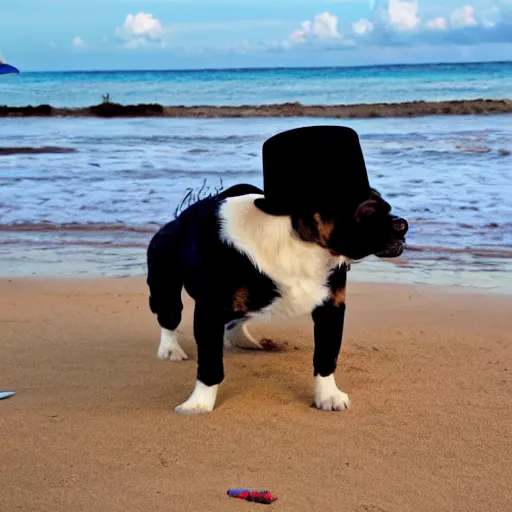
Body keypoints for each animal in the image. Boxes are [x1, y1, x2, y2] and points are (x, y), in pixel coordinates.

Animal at [147, 126, 408, 414]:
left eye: (388, 209)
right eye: (366, 212)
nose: (402, 225)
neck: (301, 243)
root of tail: (176, 221)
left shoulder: (331, 308)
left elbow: (326, 357)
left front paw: (328, 396)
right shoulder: (209, 311)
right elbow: (210, 365)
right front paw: (199, 403)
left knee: (236, 319)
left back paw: (243, 340)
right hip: (165, 287)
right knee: (169, 318)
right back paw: (170, 351)